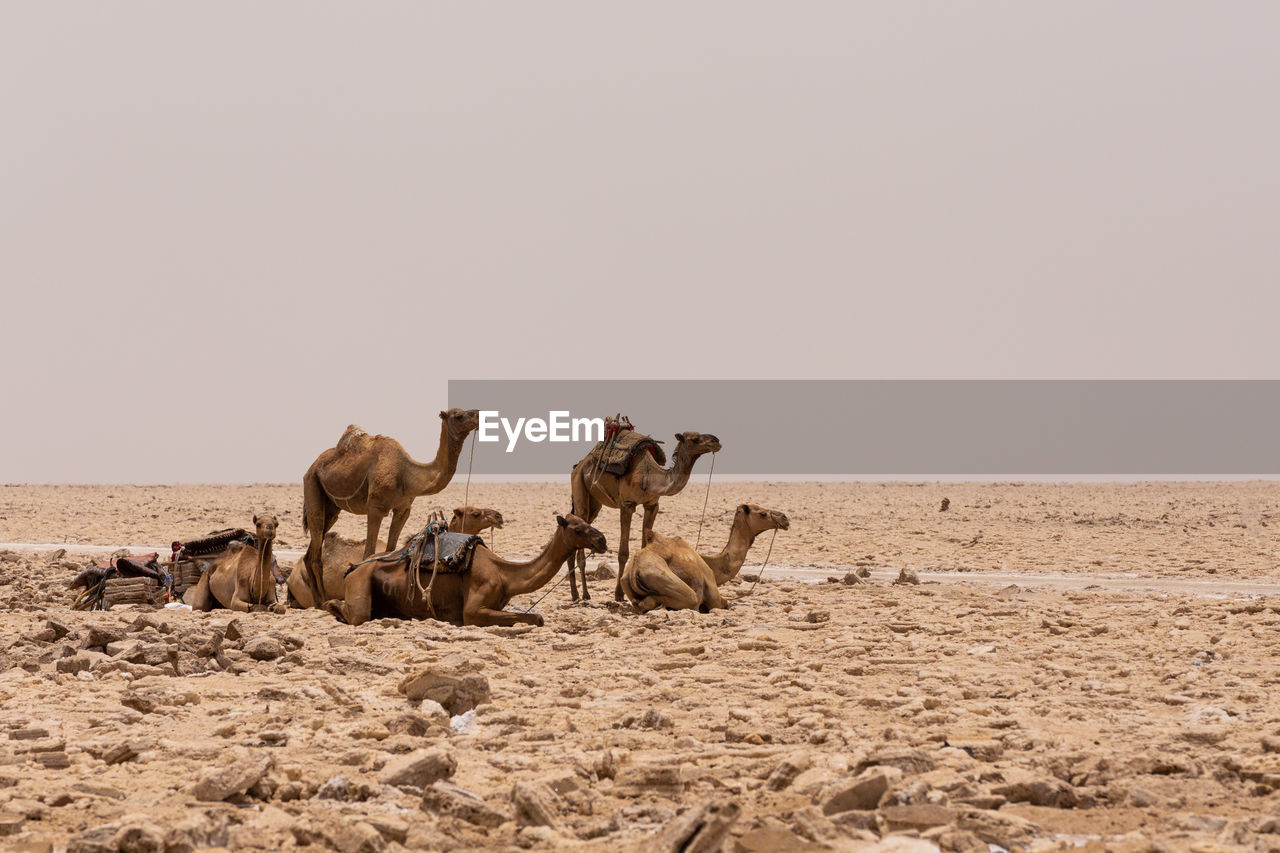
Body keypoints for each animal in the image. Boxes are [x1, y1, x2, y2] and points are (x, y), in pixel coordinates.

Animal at [299, 407, 481, 601]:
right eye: (458, 416)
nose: (478, 414)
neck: (406, 474)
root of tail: (312, 467)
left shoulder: (403, 509)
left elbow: (390, 549)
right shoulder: (375, 508)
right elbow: (369, 552)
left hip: (332, 509)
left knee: (311, 551)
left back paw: (317, 598)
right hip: (312, 485)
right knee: (316, 547)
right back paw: (322, 600)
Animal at [330, 512, 609, 625]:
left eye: (587, 522)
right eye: (578, 529)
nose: (602, 540)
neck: (505, 575)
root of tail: (351, 568)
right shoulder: (473, 611)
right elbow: (535, 618)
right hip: (360, 583)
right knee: (355, 613)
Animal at [570, 427, 721, 601]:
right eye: (695, 439)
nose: (716, 441)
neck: (649, 477)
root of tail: (579, 465)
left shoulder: (652, 505)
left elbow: (644, 545)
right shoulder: (627, 504)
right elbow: (623, 553)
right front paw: (619, 594)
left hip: (595, 503)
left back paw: (575, 593)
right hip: (580, 490)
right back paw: (584, 594)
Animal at [619, 499, 788, 612]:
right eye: (763, 513)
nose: (784, 518)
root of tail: (634, 571)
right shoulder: (712, 590)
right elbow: (723, 603)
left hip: (625, 581)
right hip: (664, 578)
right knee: (689, 600)